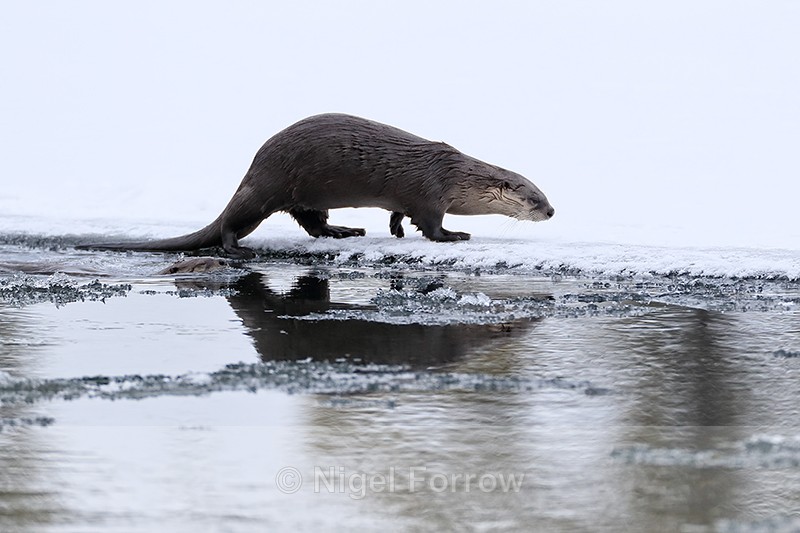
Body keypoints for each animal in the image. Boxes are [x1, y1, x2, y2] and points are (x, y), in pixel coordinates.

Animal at [79, 113, 554, 258]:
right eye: (533, 198)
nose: (552, 211)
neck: (456, 176)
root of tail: (253, 166)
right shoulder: (430, 194)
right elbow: (431, 226)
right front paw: (456, 235)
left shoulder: (409, 197)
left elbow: (398, 214)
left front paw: (394, 230)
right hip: (265, 188)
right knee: (231, 221)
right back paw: (235, 248)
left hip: (304, 194)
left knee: (311, 221)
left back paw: (344, 230)